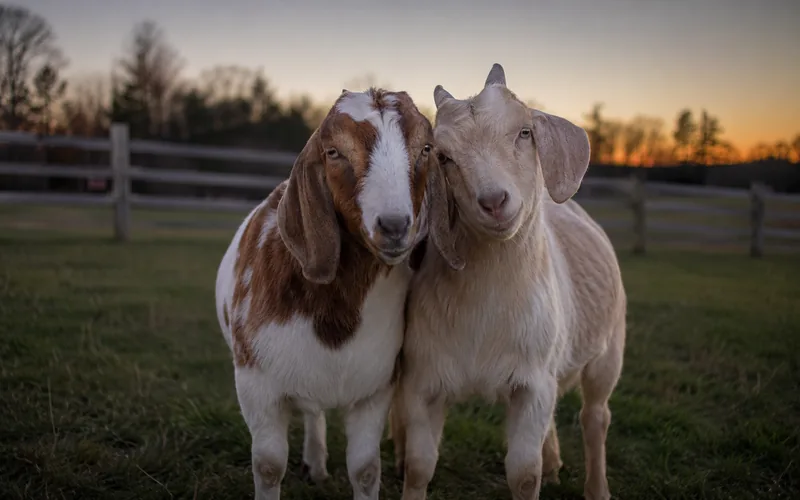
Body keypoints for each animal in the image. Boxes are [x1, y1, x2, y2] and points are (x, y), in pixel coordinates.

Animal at [215, 87, 448, 500]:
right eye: (334, 152)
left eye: (425, 148)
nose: (394, 226)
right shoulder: (256, 385)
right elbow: (269, 466)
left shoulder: (375, 388)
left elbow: (366, 469)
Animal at [390, 64, 627, 500]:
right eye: (444, 157)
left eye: (525, 132)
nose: (494, 201)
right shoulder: (423, 381)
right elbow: (418, 467)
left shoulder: (532, 383)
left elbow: (523, 474)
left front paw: (539, 474)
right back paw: (555, 463)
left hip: (609, 348)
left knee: (595, 416)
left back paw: (597, 488)